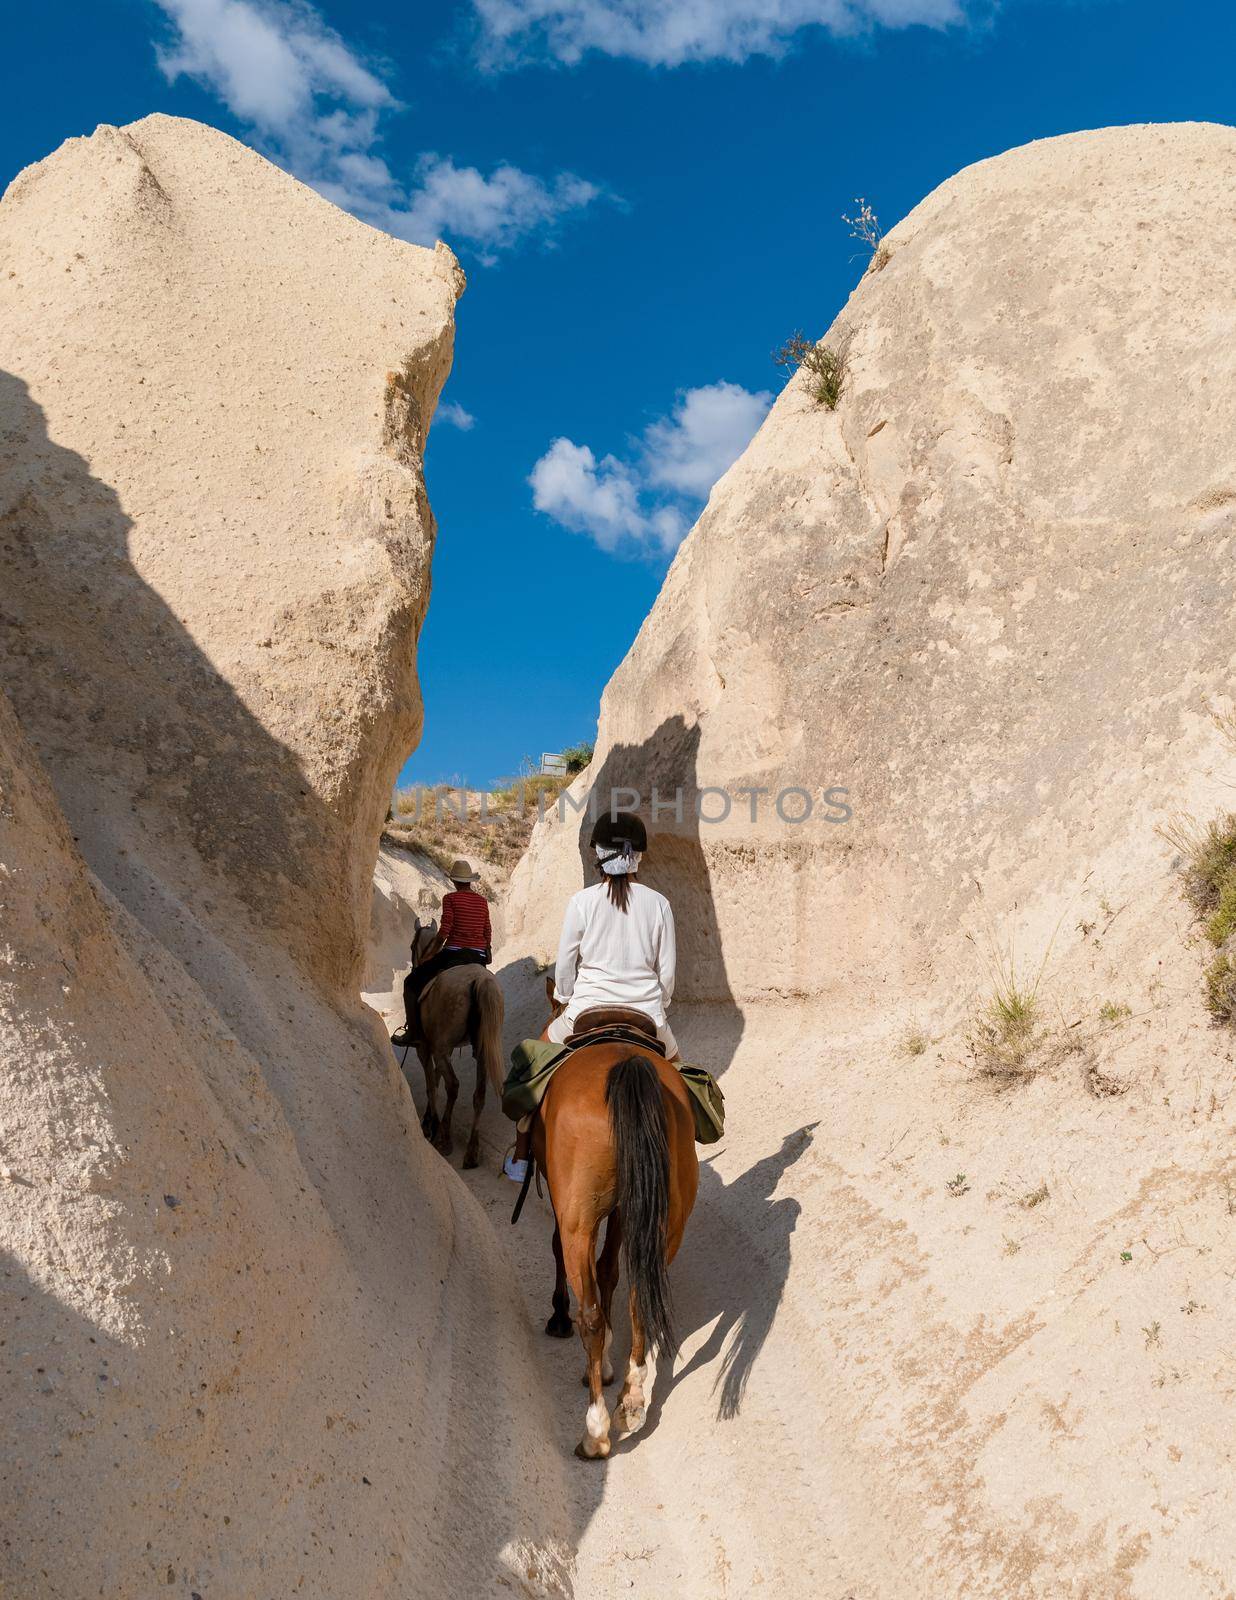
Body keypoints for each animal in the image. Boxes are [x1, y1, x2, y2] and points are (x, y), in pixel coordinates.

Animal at [405, 921, 502, 1171]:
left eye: (411, 946)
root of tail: (479, 980)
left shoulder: (426, 1047)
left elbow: (432, 1082)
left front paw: (429, 1123)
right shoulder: (443, 1048)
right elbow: (436, 1078)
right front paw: (429, 1118)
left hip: (439, 1045)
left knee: (454, 1085)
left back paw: (444, 1138)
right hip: (481, 1050)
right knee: (479, 1094)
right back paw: (471, 1152)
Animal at [534, 972, 701, 1465]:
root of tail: (626, 1063)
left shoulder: (566, 1207)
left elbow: (569, 1259)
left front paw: (561, 1319)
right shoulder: (630, 1212)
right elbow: (610, 1271)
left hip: (579, 1218)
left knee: (588, 1310)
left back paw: (596, 1431)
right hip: (666, 1220)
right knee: (641, 1293)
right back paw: (631, 1400)